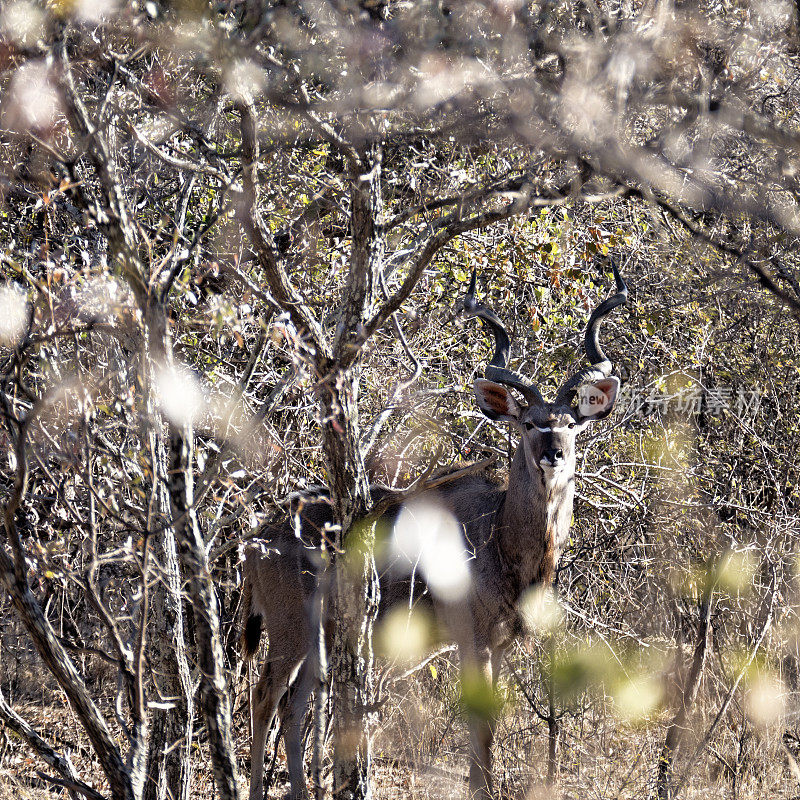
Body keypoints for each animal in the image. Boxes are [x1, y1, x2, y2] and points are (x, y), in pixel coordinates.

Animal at [241, 264, 628, 800]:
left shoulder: (500, 645)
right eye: (529, 423)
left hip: (321, 634)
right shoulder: (473, 639)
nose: (554, 454)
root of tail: (257, 538)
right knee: (265, 696)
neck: (503, 541)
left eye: (571, 423)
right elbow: (481, 732)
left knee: (292, 705)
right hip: (289, 626)